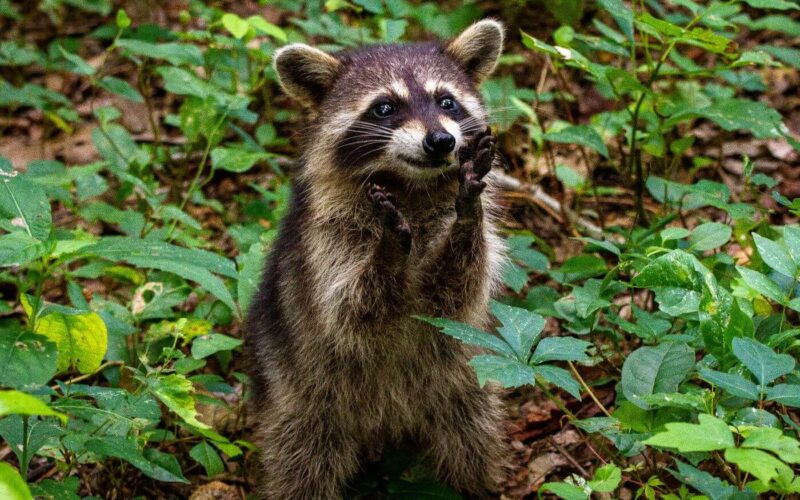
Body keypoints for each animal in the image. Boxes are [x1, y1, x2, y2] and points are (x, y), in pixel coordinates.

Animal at [245, 20, 508, 499]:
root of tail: (387, 425)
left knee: (471, 438)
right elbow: (350, 310)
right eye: (384, 107)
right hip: (301, 397)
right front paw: (388, 249)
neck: (409, 185)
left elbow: (456, 293)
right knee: (302, 462)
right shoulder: (326, 240)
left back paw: (474, 485)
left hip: (464, 385)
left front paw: (467, 215)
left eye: (446, 101)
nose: (441, 141)